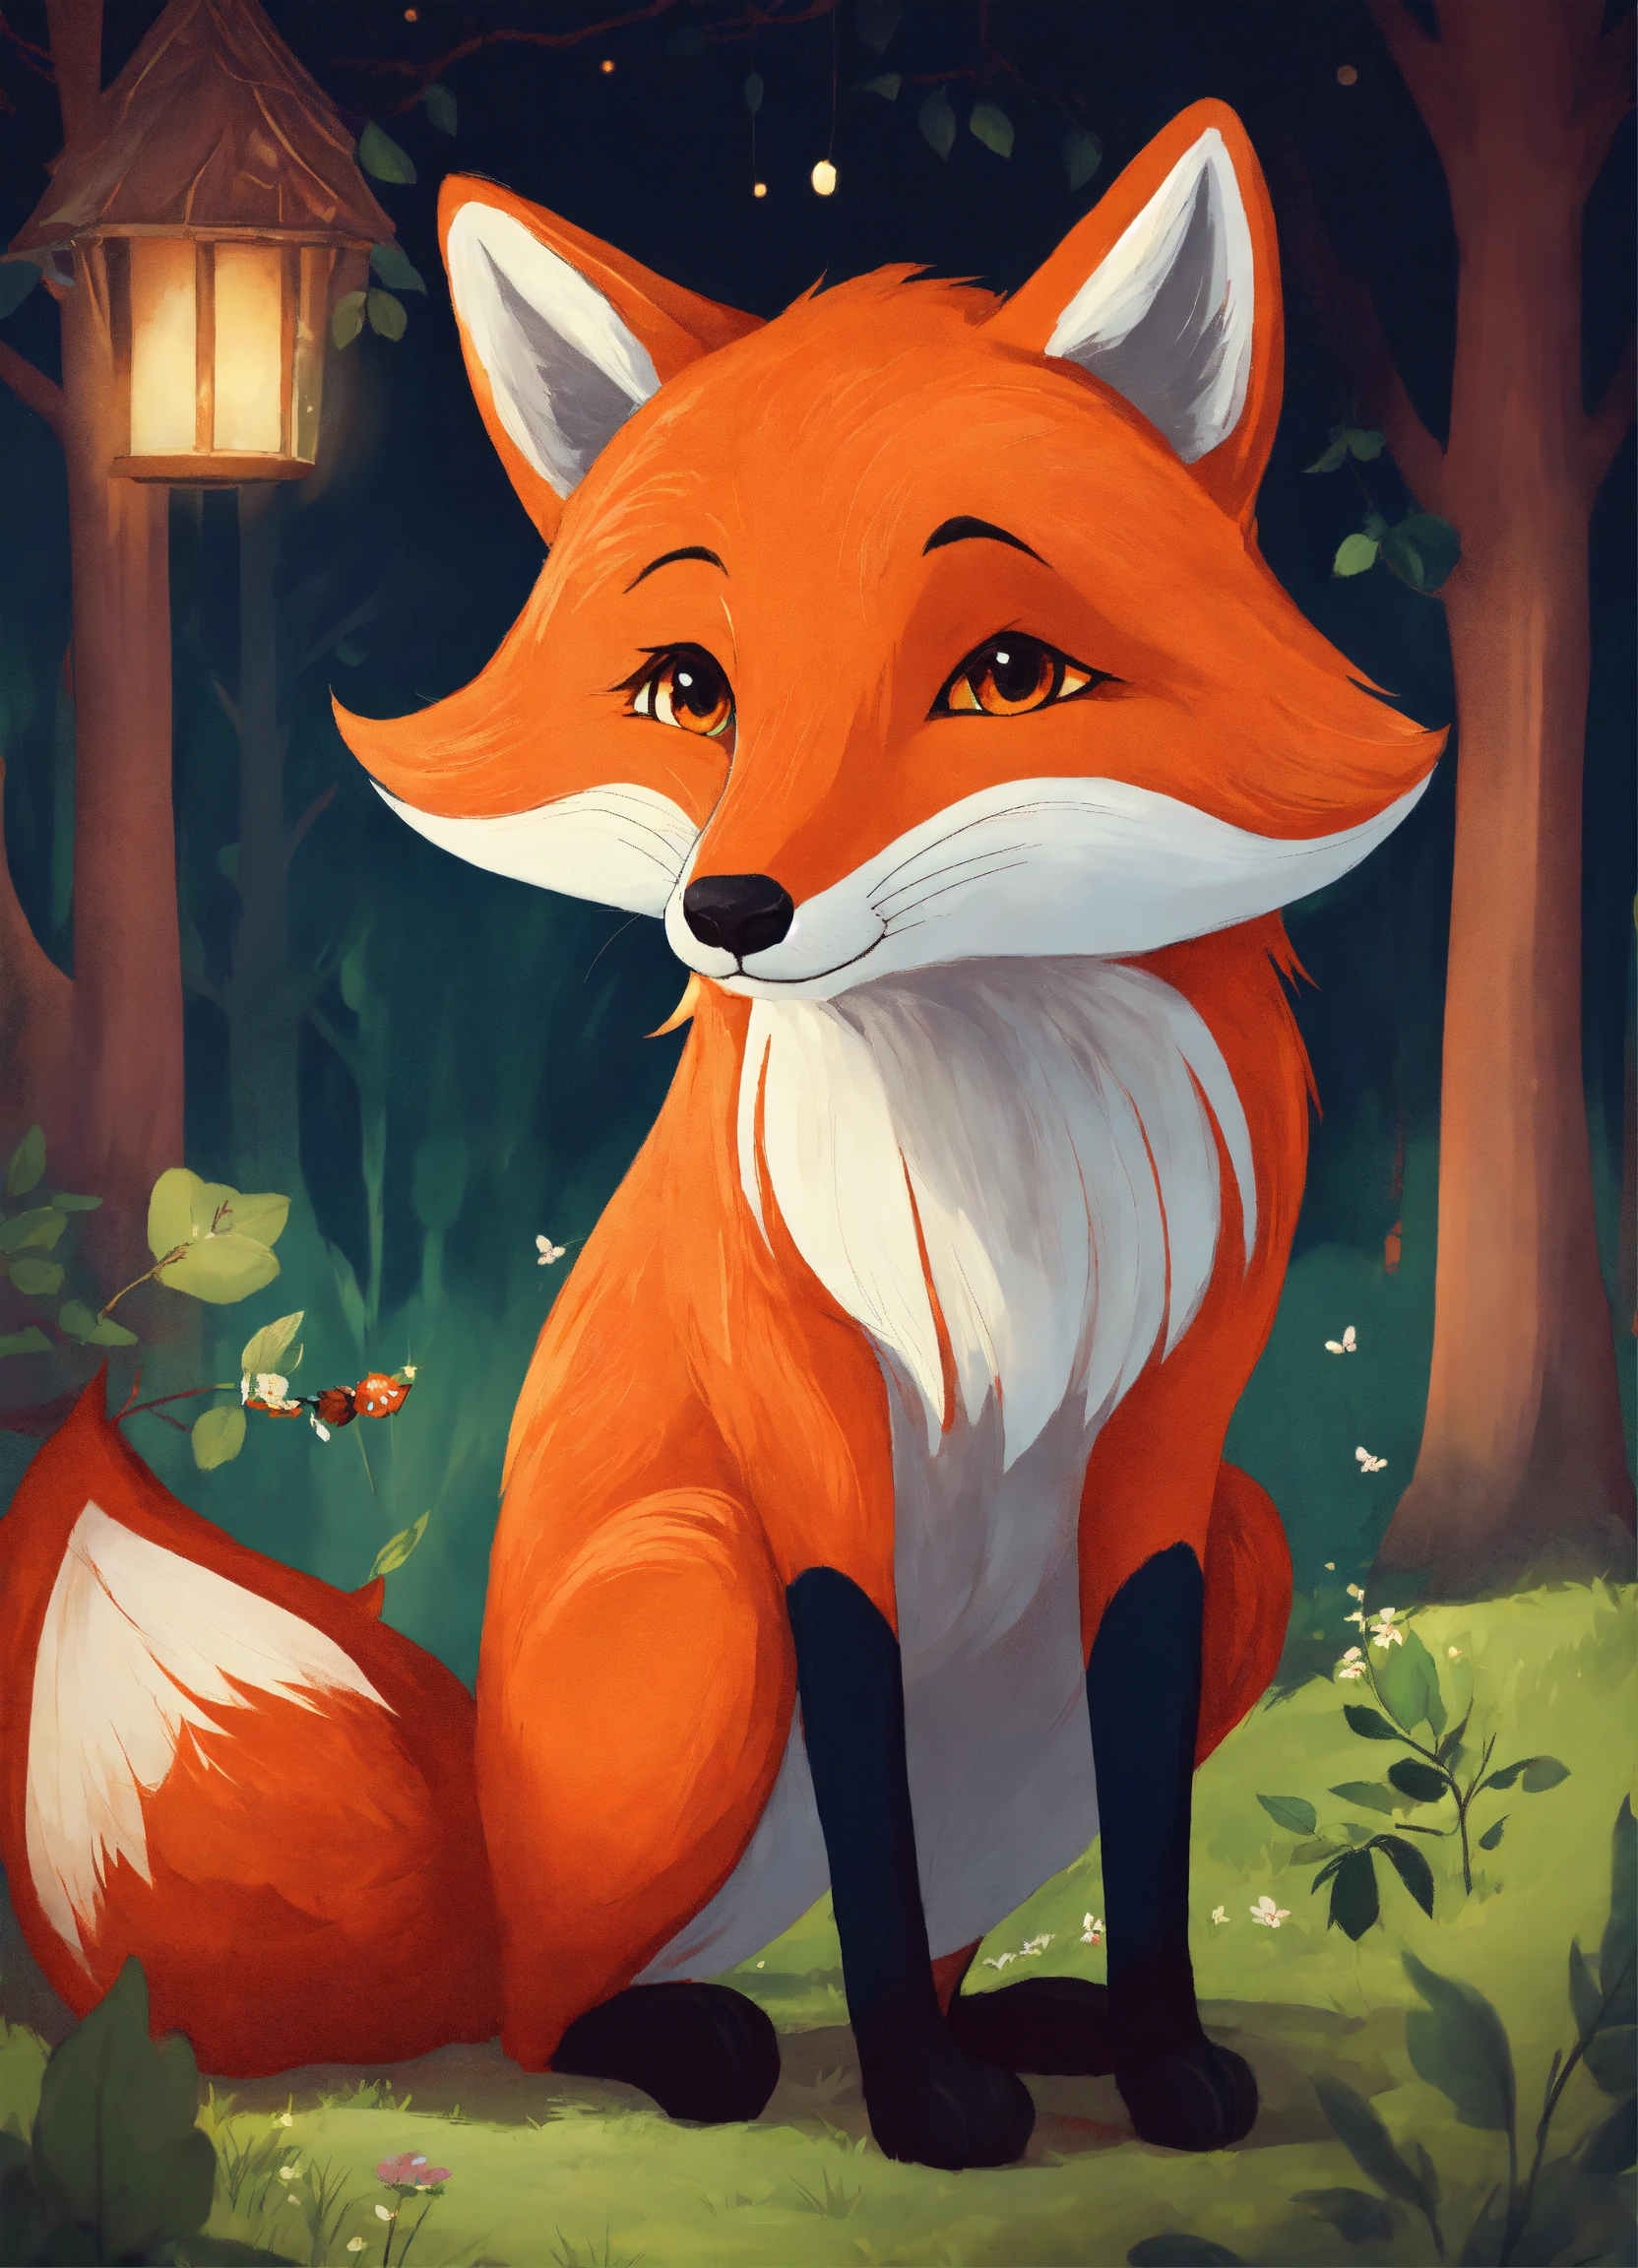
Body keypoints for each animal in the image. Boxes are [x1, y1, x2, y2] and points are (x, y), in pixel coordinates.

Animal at [0, 102, 1441, 2172]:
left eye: (1005, 676)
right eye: (690, 691)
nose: (730, 909)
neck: (1004, 1179)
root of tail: (489, 1857)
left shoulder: (1171, 1463)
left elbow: (1139, 1826)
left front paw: (1157, 2060)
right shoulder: (804, 1447)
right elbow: (866, 1799)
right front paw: (922, 2111)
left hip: (1235, 1549)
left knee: (927, 1929)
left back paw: (1041, 2021)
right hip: (688, 1589)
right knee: (549, 2016)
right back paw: (703, 2039)